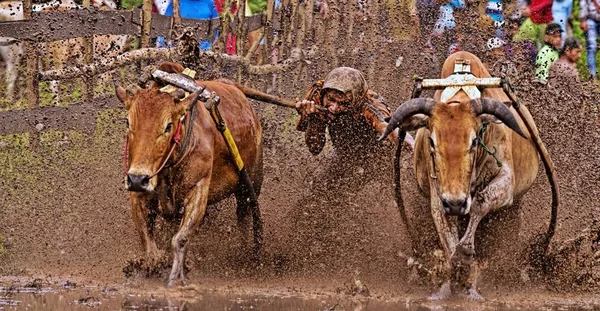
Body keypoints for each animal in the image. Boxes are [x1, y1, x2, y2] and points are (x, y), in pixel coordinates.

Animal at [115, 62, 262, 288]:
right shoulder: (138, 193)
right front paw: (149, 269)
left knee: (245, 219)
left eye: (168, 126)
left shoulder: (198, 190)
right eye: (128, 123)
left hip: (249, 187)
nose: (138, 179)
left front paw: (176, 276)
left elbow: (180, 239)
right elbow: (148, 242)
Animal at [380, 52, 548, 302]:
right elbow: (447, 236)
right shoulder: (438, 198)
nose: (456, 203)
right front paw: (453, 279)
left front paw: (466, 255)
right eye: (432, 142)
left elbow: (481, 201)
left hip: (513, 209)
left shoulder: (505, 182)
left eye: (474, 141)